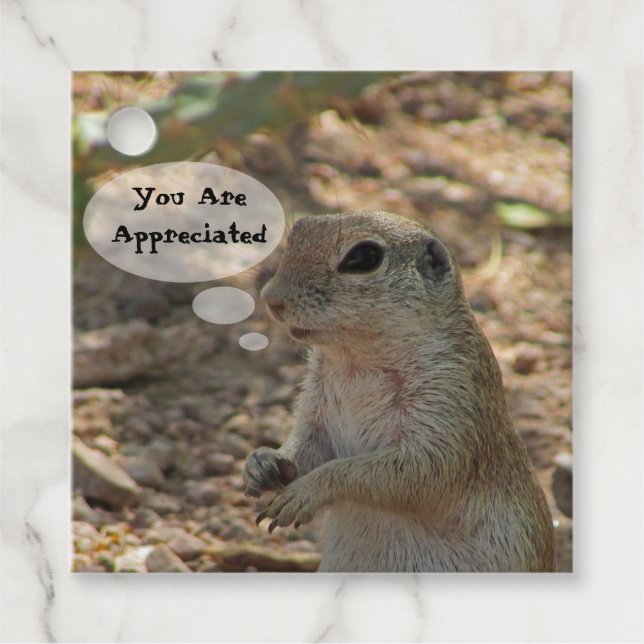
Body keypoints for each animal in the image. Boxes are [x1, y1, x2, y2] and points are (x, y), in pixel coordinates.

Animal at [243, 211, 556, 572]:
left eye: (363, 257)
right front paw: (263, 462)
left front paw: (307, 491)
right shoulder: (316, 409)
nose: (271, 298)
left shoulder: (450, 400)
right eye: (299, 230)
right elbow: (307, 446)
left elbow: (414, 471)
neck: (356, 362)